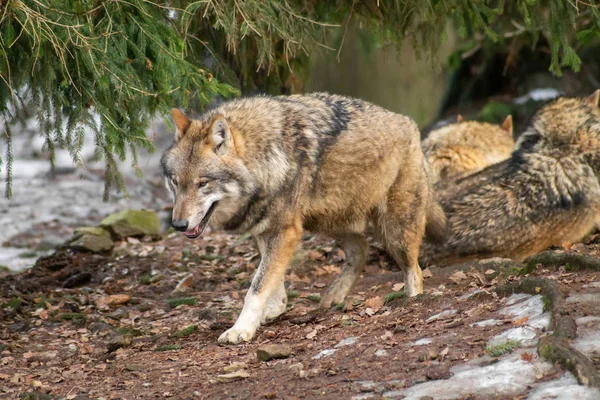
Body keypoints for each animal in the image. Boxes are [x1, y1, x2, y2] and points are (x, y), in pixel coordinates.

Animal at [161, 94, 446, 344]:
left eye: (202, 183)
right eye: (175, 182)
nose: (178, 225)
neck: (265, 158)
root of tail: (409, 123)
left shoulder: (286, 231)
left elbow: (256, 287)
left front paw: (240, 329)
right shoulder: (268, 231)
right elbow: (270, 280)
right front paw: (274, 310)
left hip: (396, 230)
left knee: (414, 270)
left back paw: (412, 299)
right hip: (330, 223)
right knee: (362, 249)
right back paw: (334, 296)